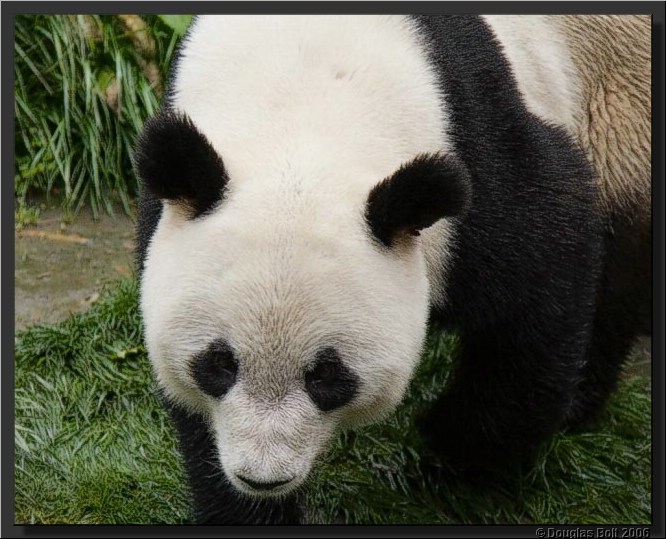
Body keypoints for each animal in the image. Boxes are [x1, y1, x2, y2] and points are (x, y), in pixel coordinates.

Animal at [134, 15, 651, 525]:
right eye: (219, 364)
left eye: (327, 375)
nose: (263, 477)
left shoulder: (480, 150)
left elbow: (543, 283)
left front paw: (451, 446)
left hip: (620, 106)